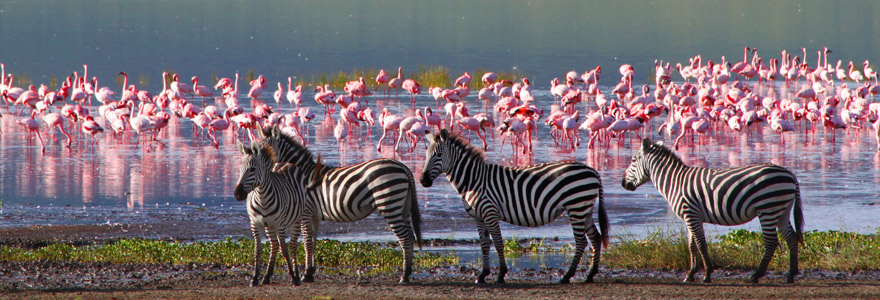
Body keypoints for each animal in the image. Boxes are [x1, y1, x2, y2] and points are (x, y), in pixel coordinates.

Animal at [234, 139, 312, 288]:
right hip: (269, 225)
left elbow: (284, 249)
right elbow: (257, 249)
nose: (237, 194)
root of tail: (285, 163)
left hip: (296, 220)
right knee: (274, 245)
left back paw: (297, 275)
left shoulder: (280, 224)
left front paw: (293, 277)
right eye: (239, 169)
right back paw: (267, 276)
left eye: (252, 169)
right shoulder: (255, 223)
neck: (262, 198)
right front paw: (255, 277)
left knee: (292, 245)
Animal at [258, 126, 422, 284]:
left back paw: (404, 276)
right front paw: (310, 272)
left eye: (265, 151)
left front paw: (305, 274)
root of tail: (403, 167)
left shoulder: (305, 212)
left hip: (389, 203)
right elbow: (313, 240)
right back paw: (408, 272)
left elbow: (307, 242)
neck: (300, 175)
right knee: (410, 236)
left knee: (404, 237)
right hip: (403, 206)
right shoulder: (314, 215)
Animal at [420, 129, 604, 284]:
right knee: (595, 237)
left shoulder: (490, 212)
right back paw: (590, 274)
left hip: (576, 206)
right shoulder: (478, 217)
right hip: (584, 209)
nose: (423, 181)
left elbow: (498, 243)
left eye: (438, 155)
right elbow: (484, 244)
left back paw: (567, 276)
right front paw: (483, 274)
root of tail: (593, 171)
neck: (473, 180)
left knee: (581, 241)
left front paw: (501, 274)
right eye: (426, 154)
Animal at [620, 138, 804, 284]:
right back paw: (791, 274)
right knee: (791, 238)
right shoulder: (690, 216)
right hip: (781, 210)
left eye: (633, 160)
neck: (675, 181)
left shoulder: (691, 214)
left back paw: (756, 275)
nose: (623, 183)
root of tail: (790, 174)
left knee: (772, 242)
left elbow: (701, 244)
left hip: (767, 208)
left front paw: (707, 274)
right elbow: (691, 245)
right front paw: (690, 274)